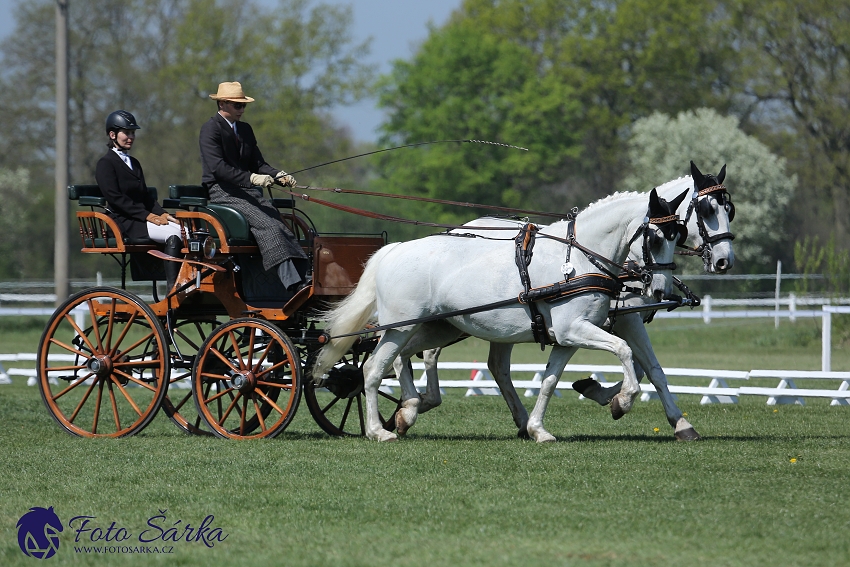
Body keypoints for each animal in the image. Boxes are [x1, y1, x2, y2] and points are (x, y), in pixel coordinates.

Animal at [314, 189, 688, 442]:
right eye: (656, 238)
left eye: (678, 236)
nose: (660, 290)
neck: (579, 259)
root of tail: (394, 250)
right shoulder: (575, 330)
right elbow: (625, 353)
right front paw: (621, 401)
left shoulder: (568, 338)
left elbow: (550, 381)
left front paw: (538, 429)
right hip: (399, 327)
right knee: (373, 369)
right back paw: (379, 430)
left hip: (434, 327)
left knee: (402, 358)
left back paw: (409, 410)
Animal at [394, 162, 732, 442]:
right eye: (706, 210)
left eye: (729, 209)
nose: (724, 261)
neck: (588, 256)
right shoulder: (617, 320)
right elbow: (635, 362)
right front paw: (616, 399)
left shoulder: (595, 326)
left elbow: (646, 368)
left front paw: (678, 423)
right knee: (412, 353)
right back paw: (415, 405)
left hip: (484, 326)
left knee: (492, 367)